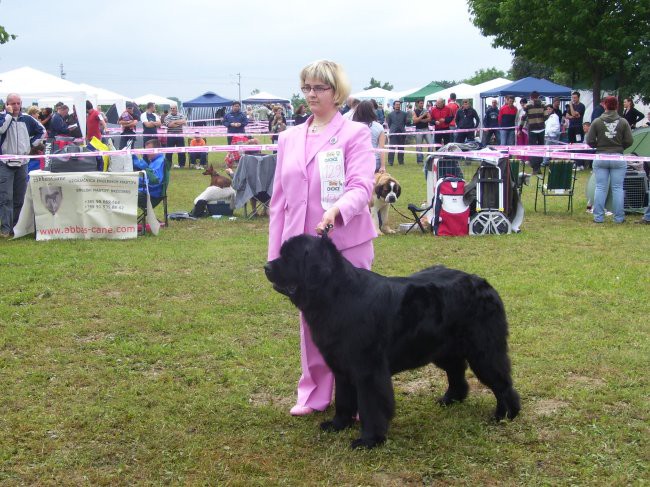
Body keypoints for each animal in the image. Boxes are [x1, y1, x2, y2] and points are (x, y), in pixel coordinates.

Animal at [260, 234, 520, 448]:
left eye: (289, 257)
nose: (266, 266)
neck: (335, 295)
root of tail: (485, 283)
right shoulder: (341, 366)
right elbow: (343, 398)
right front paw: (338, 425)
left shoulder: (368, 369)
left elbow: (371, 405)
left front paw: (369, 440)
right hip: (443, 348)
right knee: (456, 371)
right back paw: (451, 399)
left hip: (483, 350)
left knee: (501, 381)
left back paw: (506, 414)